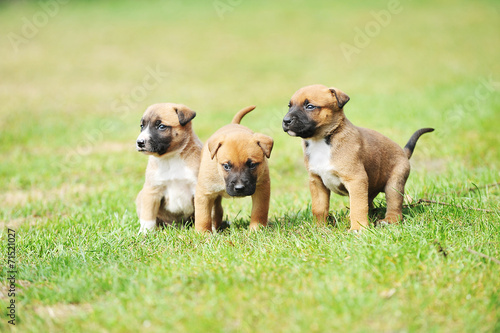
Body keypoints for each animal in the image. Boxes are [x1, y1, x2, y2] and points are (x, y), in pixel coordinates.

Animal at [136, 102, 202, 232]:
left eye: (161, 126)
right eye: (142, 126)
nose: (139, 142)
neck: (170, 158)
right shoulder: (152, 191)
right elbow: (148, 216)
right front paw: (145, 232)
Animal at [282, 83, 434, 231]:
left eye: (310, 106)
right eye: (289, 106)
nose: (285, 120)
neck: (322, 140)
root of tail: (403, 152)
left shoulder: (356, 179)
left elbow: (358, 207)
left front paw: (358, 228)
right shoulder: (317, 182)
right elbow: (319, 208)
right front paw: (319, 227)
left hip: (394, 183)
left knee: (394, 205)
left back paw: (389, 220)